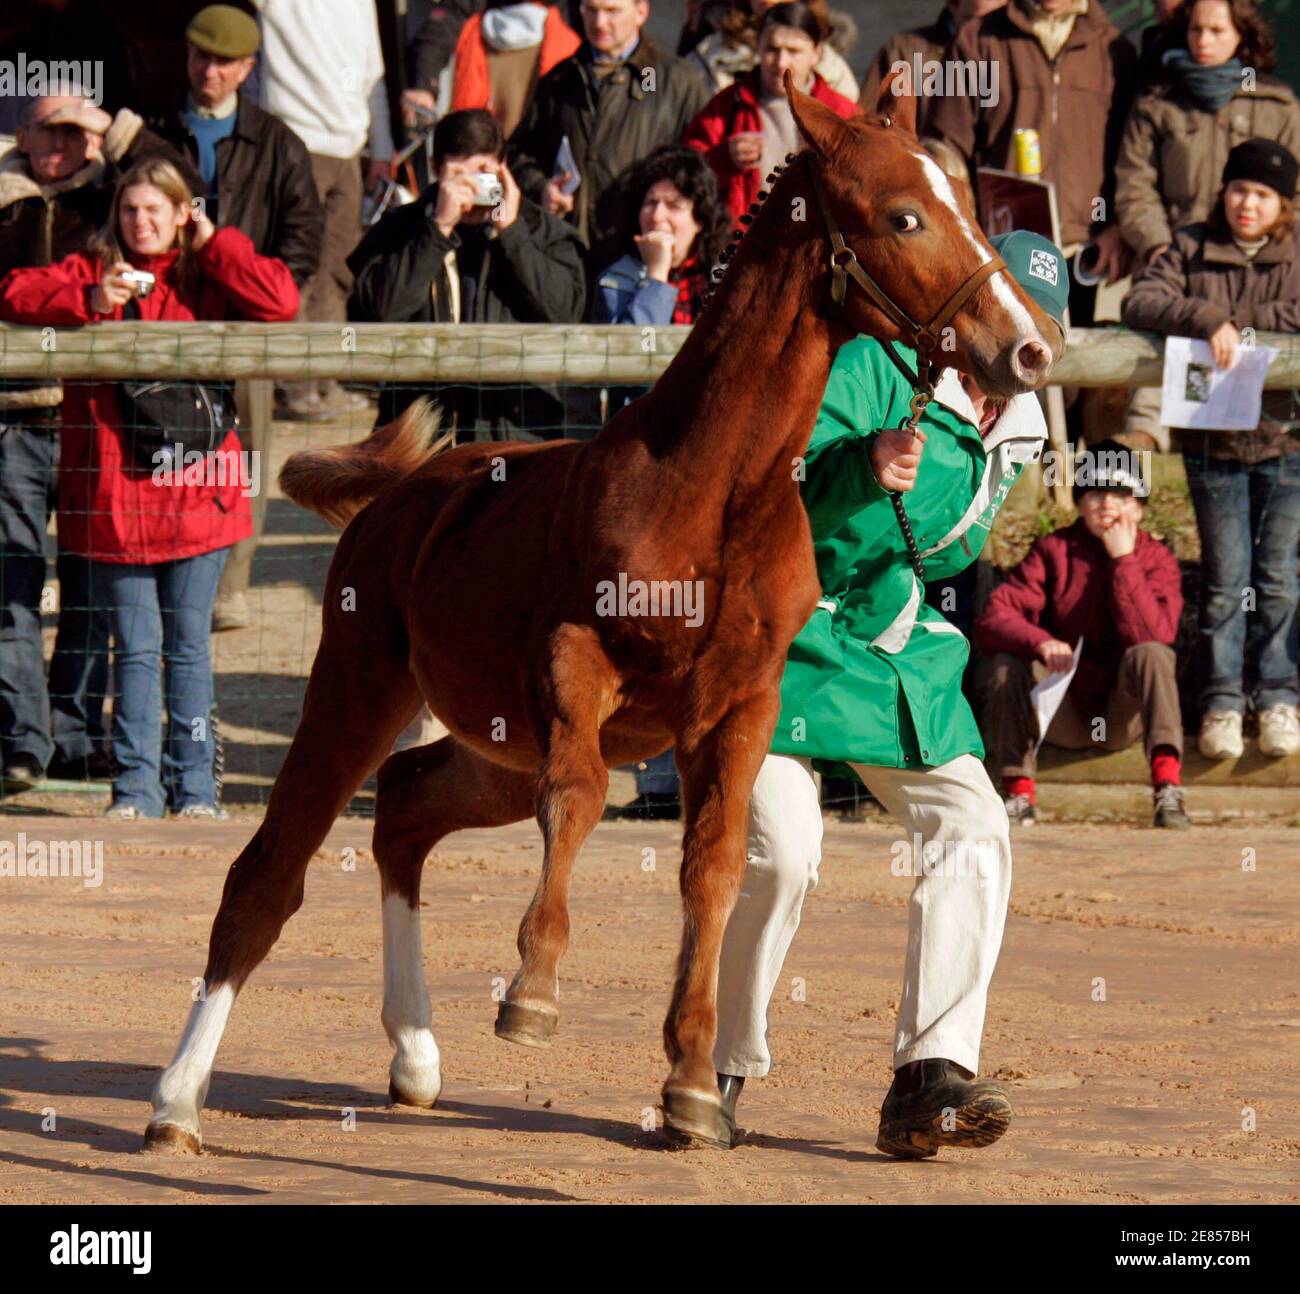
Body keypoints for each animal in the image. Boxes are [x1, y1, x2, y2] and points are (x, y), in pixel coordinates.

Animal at [142, 71, 1062, 1155]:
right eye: (904, 215)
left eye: (970, 208)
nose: (1026, 347)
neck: (711, 495)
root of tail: (399, 497)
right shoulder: (575, 664)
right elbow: (578, 798)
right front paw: (534, 990)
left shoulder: (738, 708)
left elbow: (713, 867)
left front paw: (694, 1081)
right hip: (359, 688)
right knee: (271, 873)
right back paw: (176, 1100)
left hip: (491, 745)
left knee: (405, 809)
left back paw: (414, 1053)